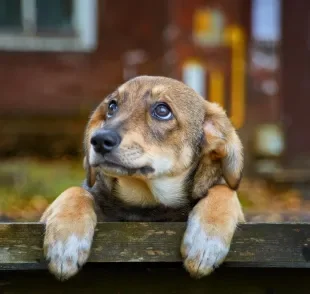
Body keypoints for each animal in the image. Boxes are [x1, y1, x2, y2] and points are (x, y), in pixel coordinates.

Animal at [41, 75, 245, 280]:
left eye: (162, 110)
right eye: (112, 106)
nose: (98, 140)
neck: (144, 202)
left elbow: (224, 190)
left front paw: (207, 240)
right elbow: (75, 191)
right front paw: (65, 241)